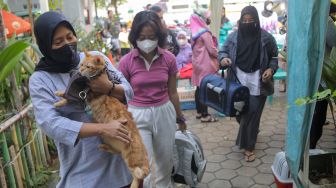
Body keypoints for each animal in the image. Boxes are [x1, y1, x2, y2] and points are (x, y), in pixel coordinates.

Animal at [53, 51, 148, 188]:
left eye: (87, 66)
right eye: (81, 64)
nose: (80, 70)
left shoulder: (88, 94)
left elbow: (68, 98)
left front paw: (59, 100)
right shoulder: (83, 95)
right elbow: (68, 96)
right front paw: (60, 96)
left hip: (131, 158)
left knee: (138, 174)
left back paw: (134, 184)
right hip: (108, 139)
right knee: (118, 154)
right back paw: (105, 148)